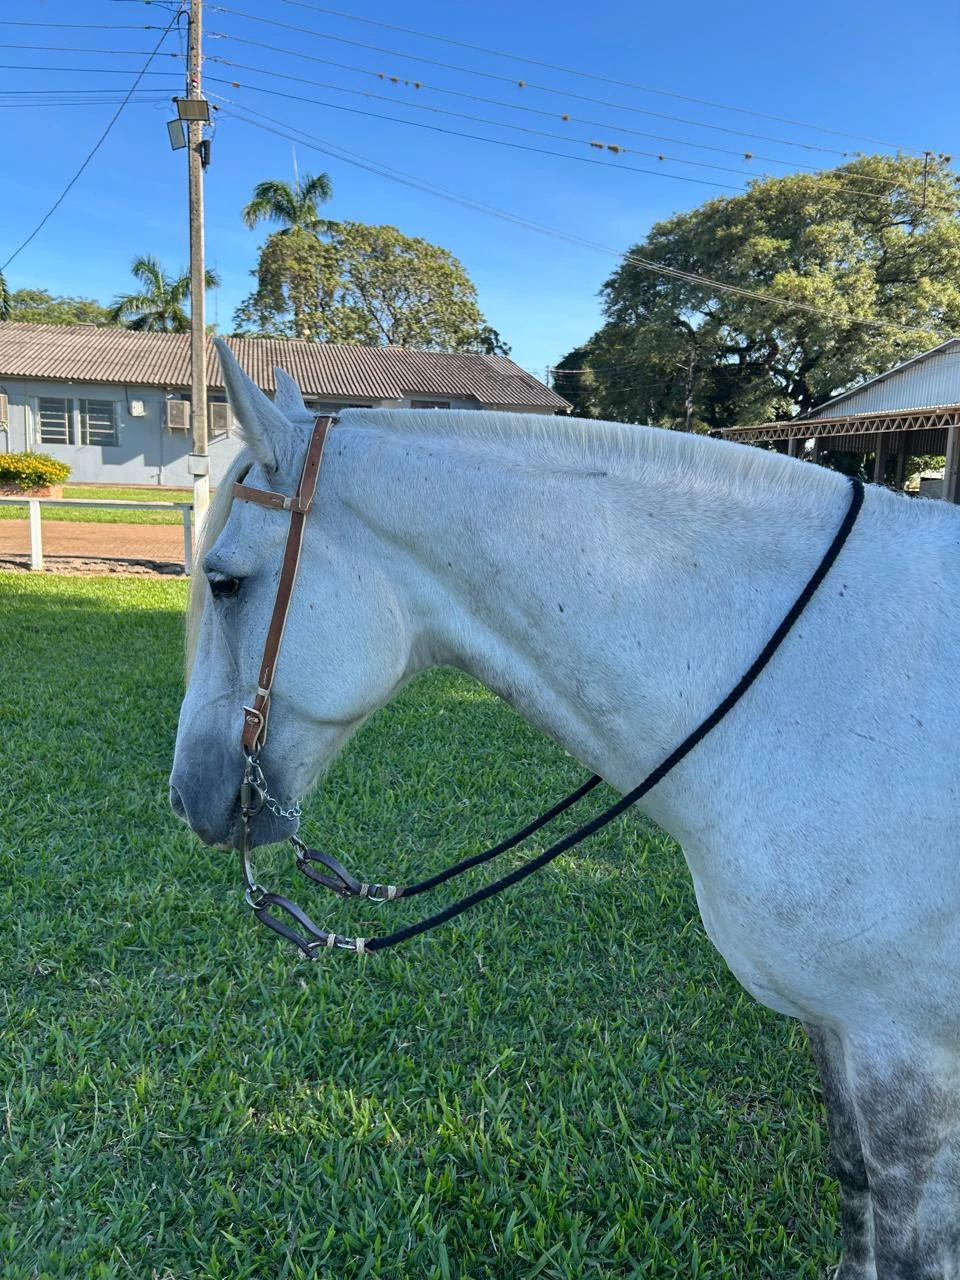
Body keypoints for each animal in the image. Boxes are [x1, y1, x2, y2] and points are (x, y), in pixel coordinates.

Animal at [171, 342, 960, 1279]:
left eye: (224, 584)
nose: (188, 794)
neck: (815, 684)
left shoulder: (906, 1057)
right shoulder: (836, 1030)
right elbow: (852, 1189)